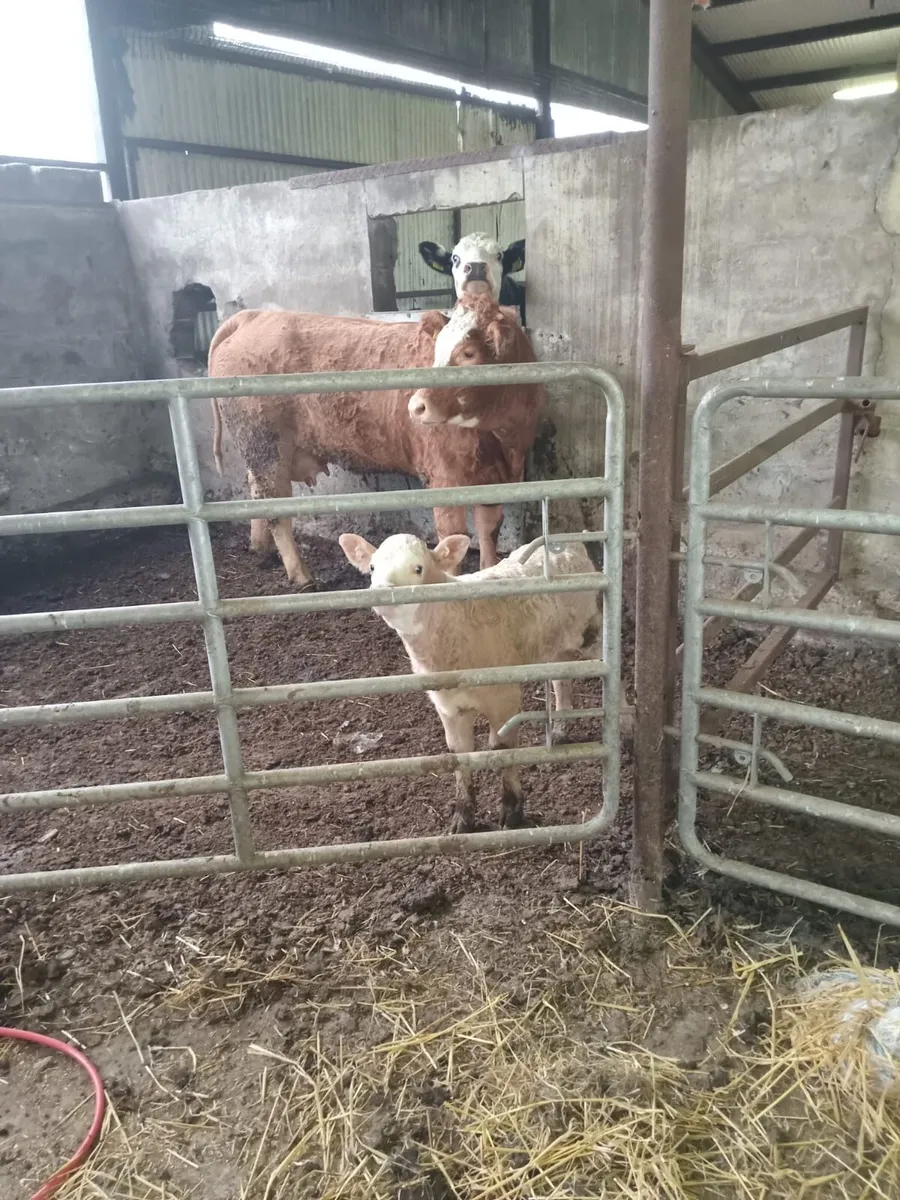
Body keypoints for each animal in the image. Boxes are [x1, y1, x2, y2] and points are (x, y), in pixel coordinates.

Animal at [207, 294, 545, 589]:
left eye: (470, 353)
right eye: (436, 351)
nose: (416, 405)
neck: (501, 441)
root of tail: (253, 316)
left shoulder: (496, 478)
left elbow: (489, 532)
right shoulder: (444, 476)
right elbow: (453, 536)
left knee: (257, 491)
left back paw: (259, 547)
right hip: (265, 446)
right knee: (277, 510)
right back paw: (300, 574)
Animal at [339, 531, 600, 833]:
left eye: (418, 568)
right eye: (372, 568)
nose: (382, 591)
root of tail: (568, 541)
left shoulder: (504, 697)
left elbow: (505, 750)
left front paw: (512, 813)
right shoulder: (448, 707)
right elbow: (459, 755)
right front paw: (462, 818)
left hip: (590, 630)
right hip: (553, 644)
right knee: (561, 680)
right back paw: (559, 730)